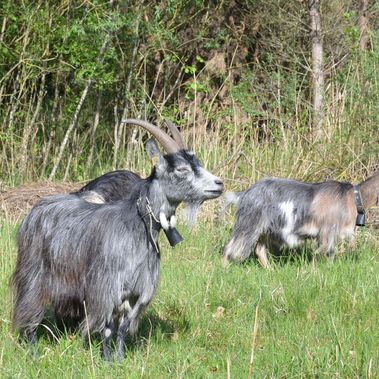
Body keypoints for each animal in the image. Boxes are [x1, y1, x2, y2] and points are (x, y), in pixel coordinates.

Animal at [11, 120, 224, 360]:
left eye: (197, 162)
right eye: (182, 169)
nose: (219, 184)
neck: (136, 228)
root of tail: (36, 208)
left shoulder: (137, 291)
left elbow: (122, 326)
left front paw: (120, 358)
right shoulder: (107, 287)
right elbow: (107, 326)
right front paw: (105, 358)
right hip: (34, 272)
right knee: (30, 305)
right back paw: (33, 348)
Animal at [223, 173, 379, 268]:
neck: (353, 197)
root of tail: (245, 194)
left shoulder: (330, 236)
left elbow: (329, 255)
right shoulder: (326, 231)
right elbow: (320, 254)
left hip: (265, 229)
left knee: (259, 249)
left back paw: (270, 269)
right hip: (250, 224)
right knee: (230, 247)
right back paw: (224, 268)